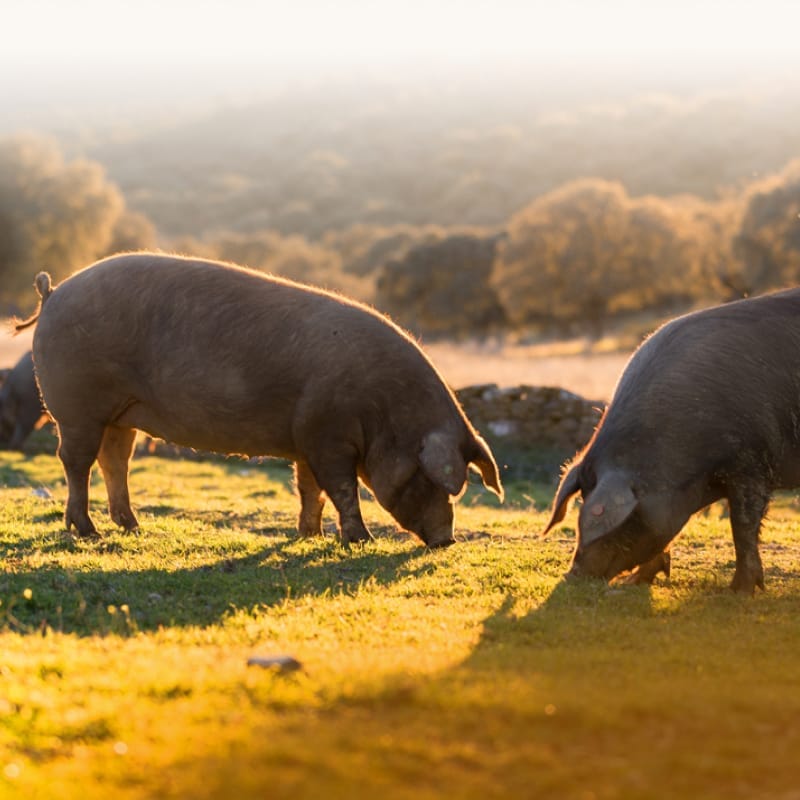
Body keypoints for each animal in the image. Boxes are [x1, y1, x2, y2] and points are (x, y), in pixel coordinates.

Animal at [18, 253, 504, 548]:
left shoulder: (306, 437)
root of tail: (53, 292)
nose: (447, 540)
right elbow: (342, 489)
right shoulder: (328, 436)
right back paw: (89, 533)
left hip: (121, 413)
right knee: (76, 461)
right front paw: (360, 540)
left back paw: (134, 528)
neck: (383, 412)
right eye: (431, 479)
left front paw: (311, 537)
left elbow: (310, 489)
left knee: (114, 461)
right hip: (76, 406)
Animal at [540, 288, 800, 592]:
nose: (572, 576)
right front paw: (634, 582)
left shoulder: (751, 463)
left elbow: (743, 525)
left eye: (625, 522)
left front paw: (739, 591)